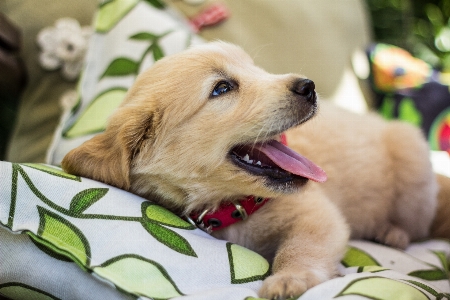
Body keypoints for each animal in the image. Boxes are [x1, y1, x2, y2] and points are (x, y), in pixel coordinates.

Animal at [61, 41, 442, 298]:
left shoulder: (317, 214)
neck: (234, 206)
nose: (309, 86)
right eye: (222, 88)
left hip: (413, 171)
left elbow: (300, 248)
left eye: (256, 69)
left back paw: (392, 233)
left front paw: (290, 279)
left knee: (418, 225)